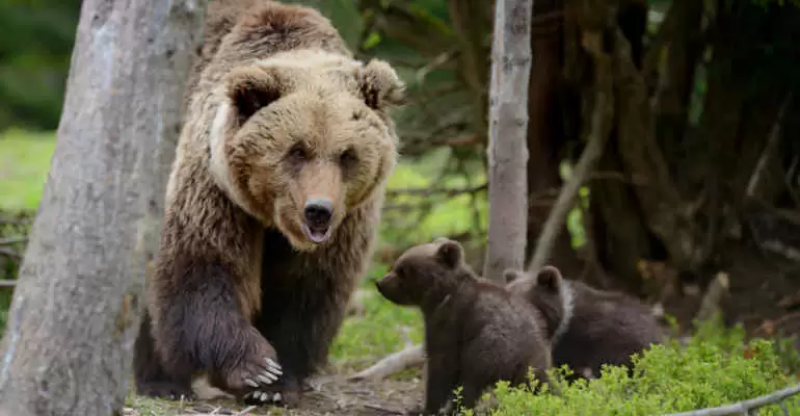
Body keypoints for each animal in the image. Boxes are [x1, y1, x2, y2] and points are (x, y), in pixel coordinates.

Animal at [134, 0, 406, 404]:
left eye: (347, 155)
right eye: (297, 150)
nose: (319, 211)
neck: (273, 218)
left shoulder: (347, 221)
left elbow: (303, 291)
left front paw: (278, 381)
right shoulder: (215, 190)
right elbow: (201, 266)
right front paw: (256, 367)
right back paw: (161, 382)